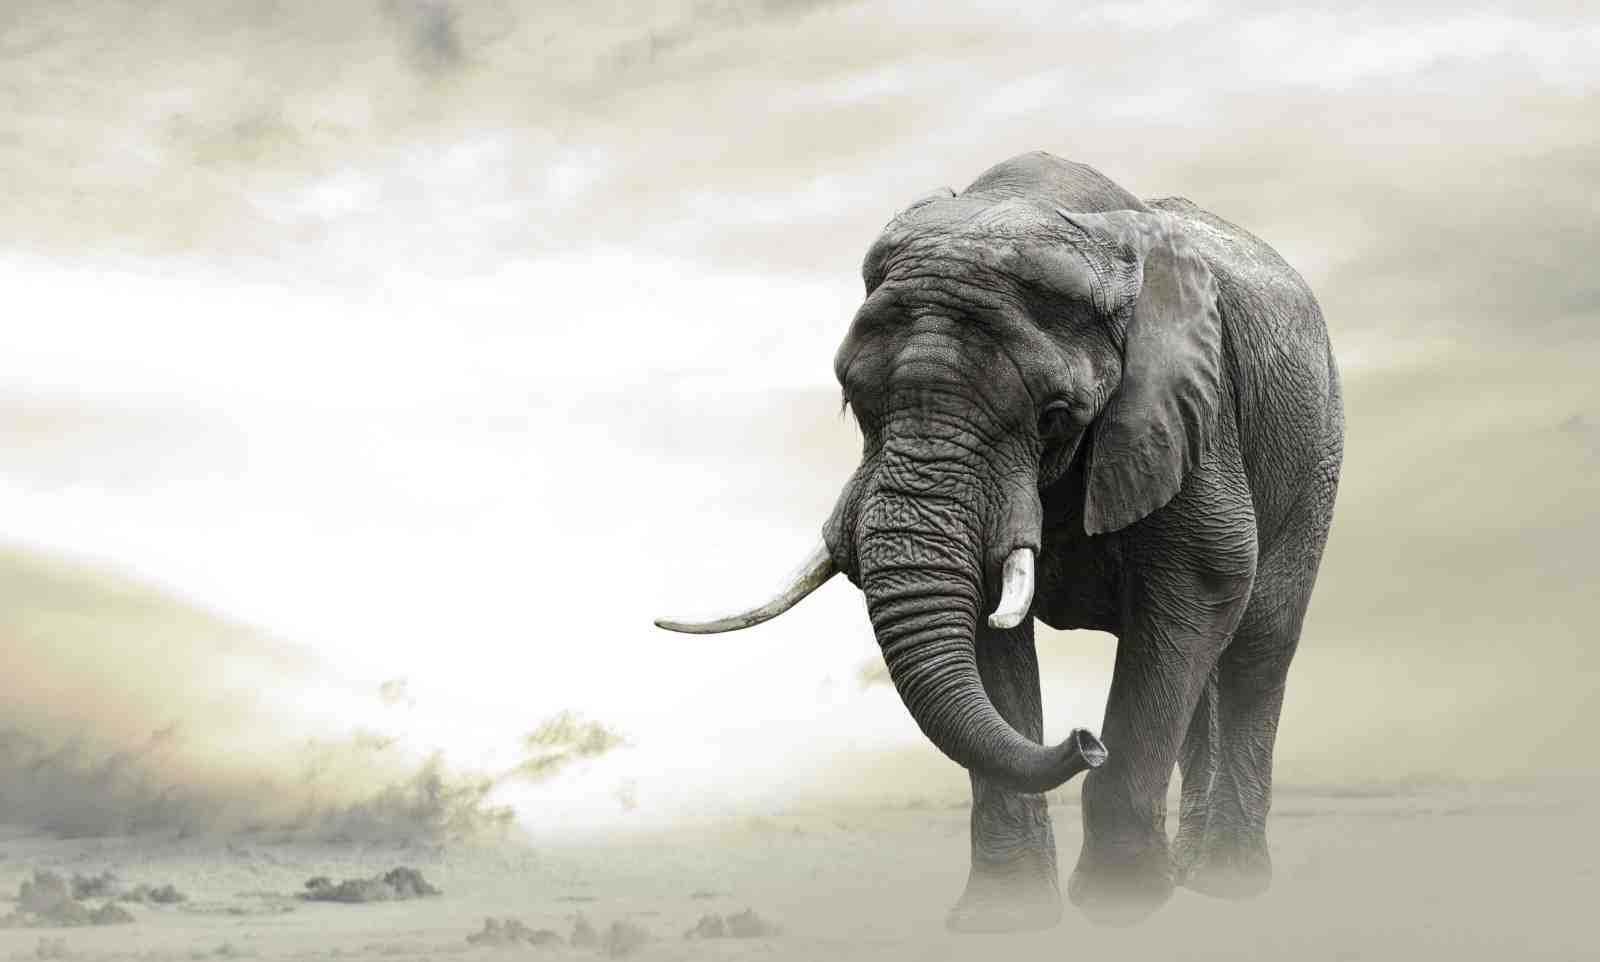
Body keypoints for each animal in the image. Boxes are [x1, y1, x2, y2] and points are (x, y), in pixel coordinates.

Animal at [657, 151, 1344, 929]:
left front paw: (1118, 910)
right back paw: (1193, 875)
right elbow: (989, 633)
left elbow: (1204, 581)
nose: (1085, 740)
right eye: (851, 400)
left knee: (1259, 643)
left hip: (1316, 450)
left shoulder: (1188, 408)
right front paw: (1004, 919)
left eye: (1055, 415)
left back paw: (1225, 887)